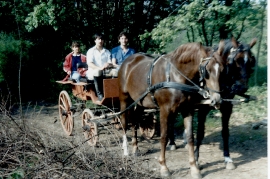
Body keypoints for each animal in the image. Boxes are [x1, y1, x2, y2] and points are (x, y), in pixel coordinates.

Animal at [118, 41, 226, 178]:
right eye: (206, 71)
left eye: (222, 70)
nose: (217, 100)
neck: (176, 75)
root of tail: (128, 61)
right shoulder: (164, 110)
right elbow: (163, 137)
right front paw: (164, 167)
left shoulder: (187, 109)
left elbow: (190, 137)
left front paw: (194, 168)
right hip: (124, 99)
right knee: (124, 121)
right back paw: (126, 150)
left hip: (140, 103)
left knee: (135, 121)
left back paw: (135, 148)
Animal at [169, 37, 258, 171]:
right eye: (236, 61)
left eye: (251, 61)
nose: (241, 88)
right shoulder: (203, 108)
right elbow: (200, 133)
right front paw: (196, 159)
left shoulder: (227, 107)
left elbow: (225, 132)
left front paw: (228, 159)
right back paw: (172, 143)